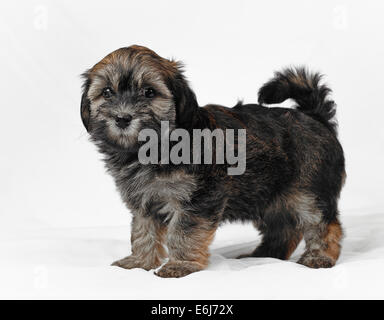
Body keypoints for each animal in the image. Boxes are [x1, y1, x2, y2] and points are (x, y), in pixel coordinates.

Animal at [80, 45, 344, 278]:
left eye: (149, 92)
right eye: (107, 92)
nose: (122, 118)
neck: (154, 148)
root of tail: (315, 117)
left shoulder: (198, 199)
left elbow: (183, 232)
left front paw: (180, 265)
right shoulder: (144, 201)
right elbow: (143, 231)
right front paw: (139, 262)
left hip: (308, 189)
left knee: (322, 223)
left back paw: (319, 257)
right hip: (269, 195)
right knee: (283, 228)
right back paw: (263, 255)